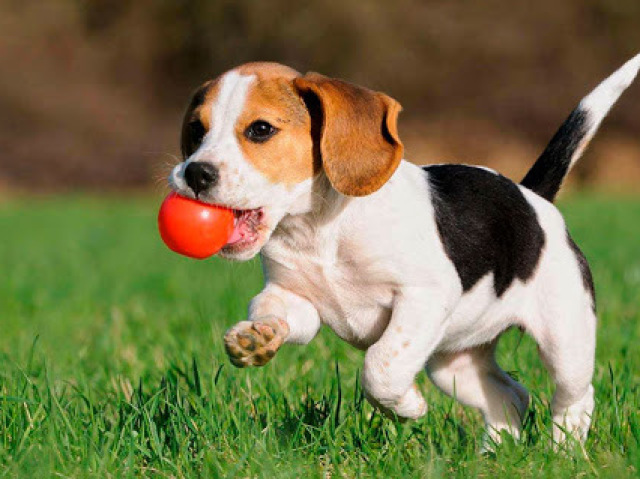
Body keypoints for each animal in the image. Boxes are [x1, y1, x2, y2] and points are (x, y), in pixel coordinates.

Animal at [170, 55, 640, 446]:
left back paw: (565, 451)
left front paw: (408, 407)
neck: (319, 229)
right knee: (511, 396)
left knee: (574, 397)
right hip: (454, 363)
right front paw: (257, 337)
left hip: (566, 340)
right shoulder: (296, 299)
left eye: (261, 130)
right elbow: (273, 310)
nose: (194, 173)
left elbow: (380, 366)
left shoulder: (423, 297)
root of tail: (532, 197)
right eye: (196, 130)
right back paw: (495, 454)